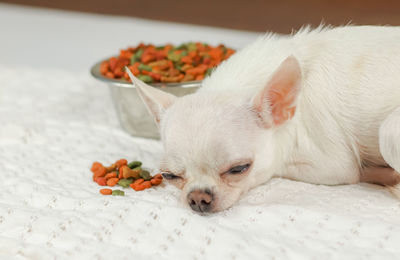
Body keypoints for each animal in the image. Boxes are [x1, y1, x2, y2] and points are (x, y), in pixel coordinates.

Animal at [127, 25, 400, 213]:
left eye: (239, 169)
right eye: (169, 176)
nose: (197, 198)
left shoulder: (335, 166)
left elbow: (279, 165)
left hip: (388, 132)